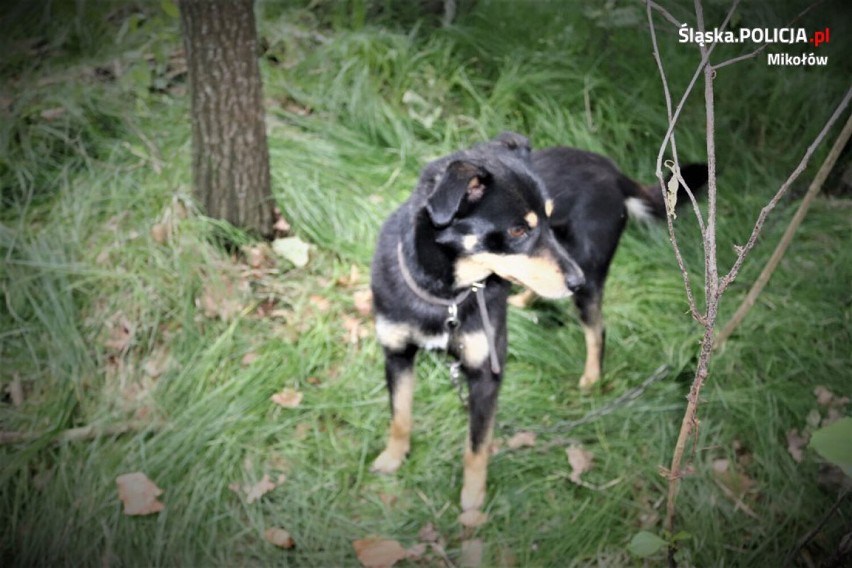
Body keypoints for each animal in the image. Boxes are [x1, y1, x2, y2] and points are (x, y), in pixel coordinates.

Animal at [370, 134, 708, 516]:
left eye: (548, 218)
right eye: (518, 230)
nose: (576, 279)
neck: (444, 294)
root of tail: (612, 169)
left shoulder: (486, 375)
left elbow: (476, 447)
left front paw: (472, 501)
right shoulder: (396, 355)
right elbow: (400, 416)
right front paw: (393, 458)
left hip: (590, 276)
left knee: (597, 329)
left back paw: (591, 377)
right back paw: (523, 301)